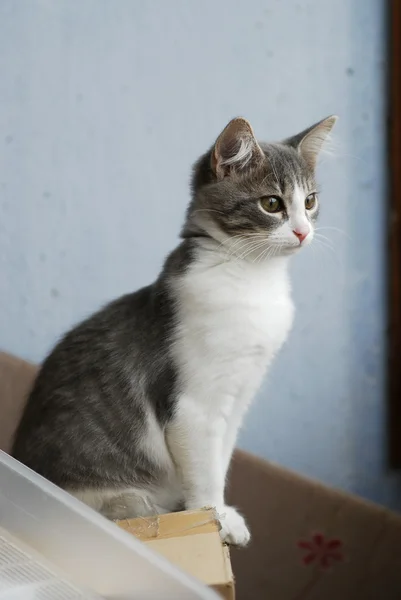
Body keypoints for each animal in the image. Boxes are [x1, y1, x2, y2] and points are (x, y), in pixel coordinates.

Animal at [12, 113, 334, 548]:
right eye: (272, 204)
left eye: (310, 201)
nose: (302, 232)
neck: (252, 277)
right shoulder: (193, 405)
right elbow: (204, 471)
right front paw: (213, 517)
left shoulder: (238, 395)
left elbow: (220, 460)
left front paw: (220, 511)